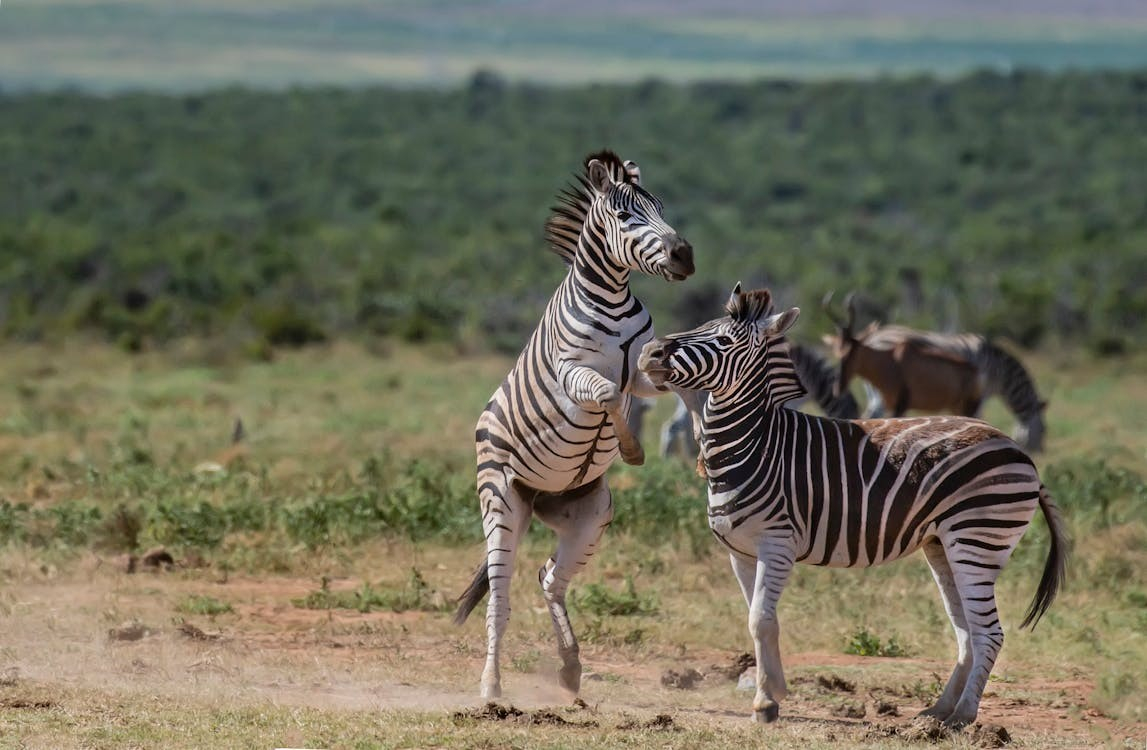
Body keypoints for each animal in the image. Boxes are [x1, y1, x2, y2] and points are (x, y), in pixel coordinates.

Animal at [453, 150, 695, 699]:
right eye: (625, 216)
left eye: (662, 207)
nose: (685, 256)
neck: (614, 300)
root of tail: (539, 498)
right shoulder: (571, 374)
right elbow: (607, 394)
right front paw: (631, 450)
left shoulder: (642, 376)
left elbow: (664, 382)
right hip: (503, 502)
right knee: (499, 600)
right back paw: (491, 687)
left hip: (589, 515)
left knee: (549, 578)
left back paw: (569, 666)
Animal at [637, 284, 1068, 729]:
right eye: (701, 325)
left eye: (723, 341)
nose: (649, 351)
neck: (754, 444)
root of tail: (1017, 451)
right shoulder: (739, 552)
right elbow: (760, 620)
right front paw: (773, 691)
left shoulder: (777, 544)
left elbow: (760, 620)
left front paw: (765, 703)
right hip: (943, 545)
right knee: (966, 630)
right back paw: (937, 710)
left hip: (978, 539)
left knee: (989, 632)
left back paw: (962, 716)